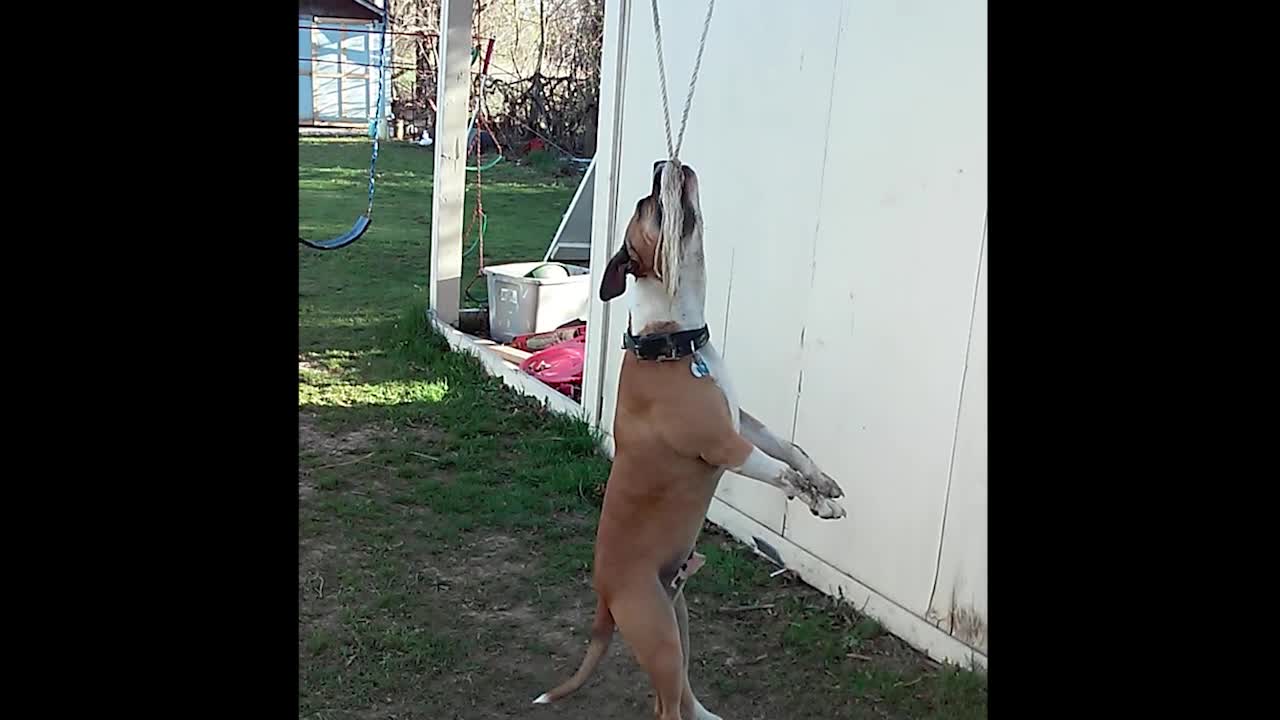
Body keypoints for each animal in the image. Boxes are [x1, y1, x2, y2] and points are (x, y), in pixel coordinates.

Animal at [532, 159, 849, 712]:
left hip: (678, 621)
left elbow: (793, 450)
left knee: (683, 693)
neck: (672, 340)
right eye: (649, 206)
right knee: (666, 705)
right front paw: (818, 503)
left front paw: (823, 484)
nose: (664, 163)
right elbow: (781, 474)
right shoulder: (726, 445)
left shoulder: (744, 421)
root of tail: (604, 598)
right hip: (657, 633)